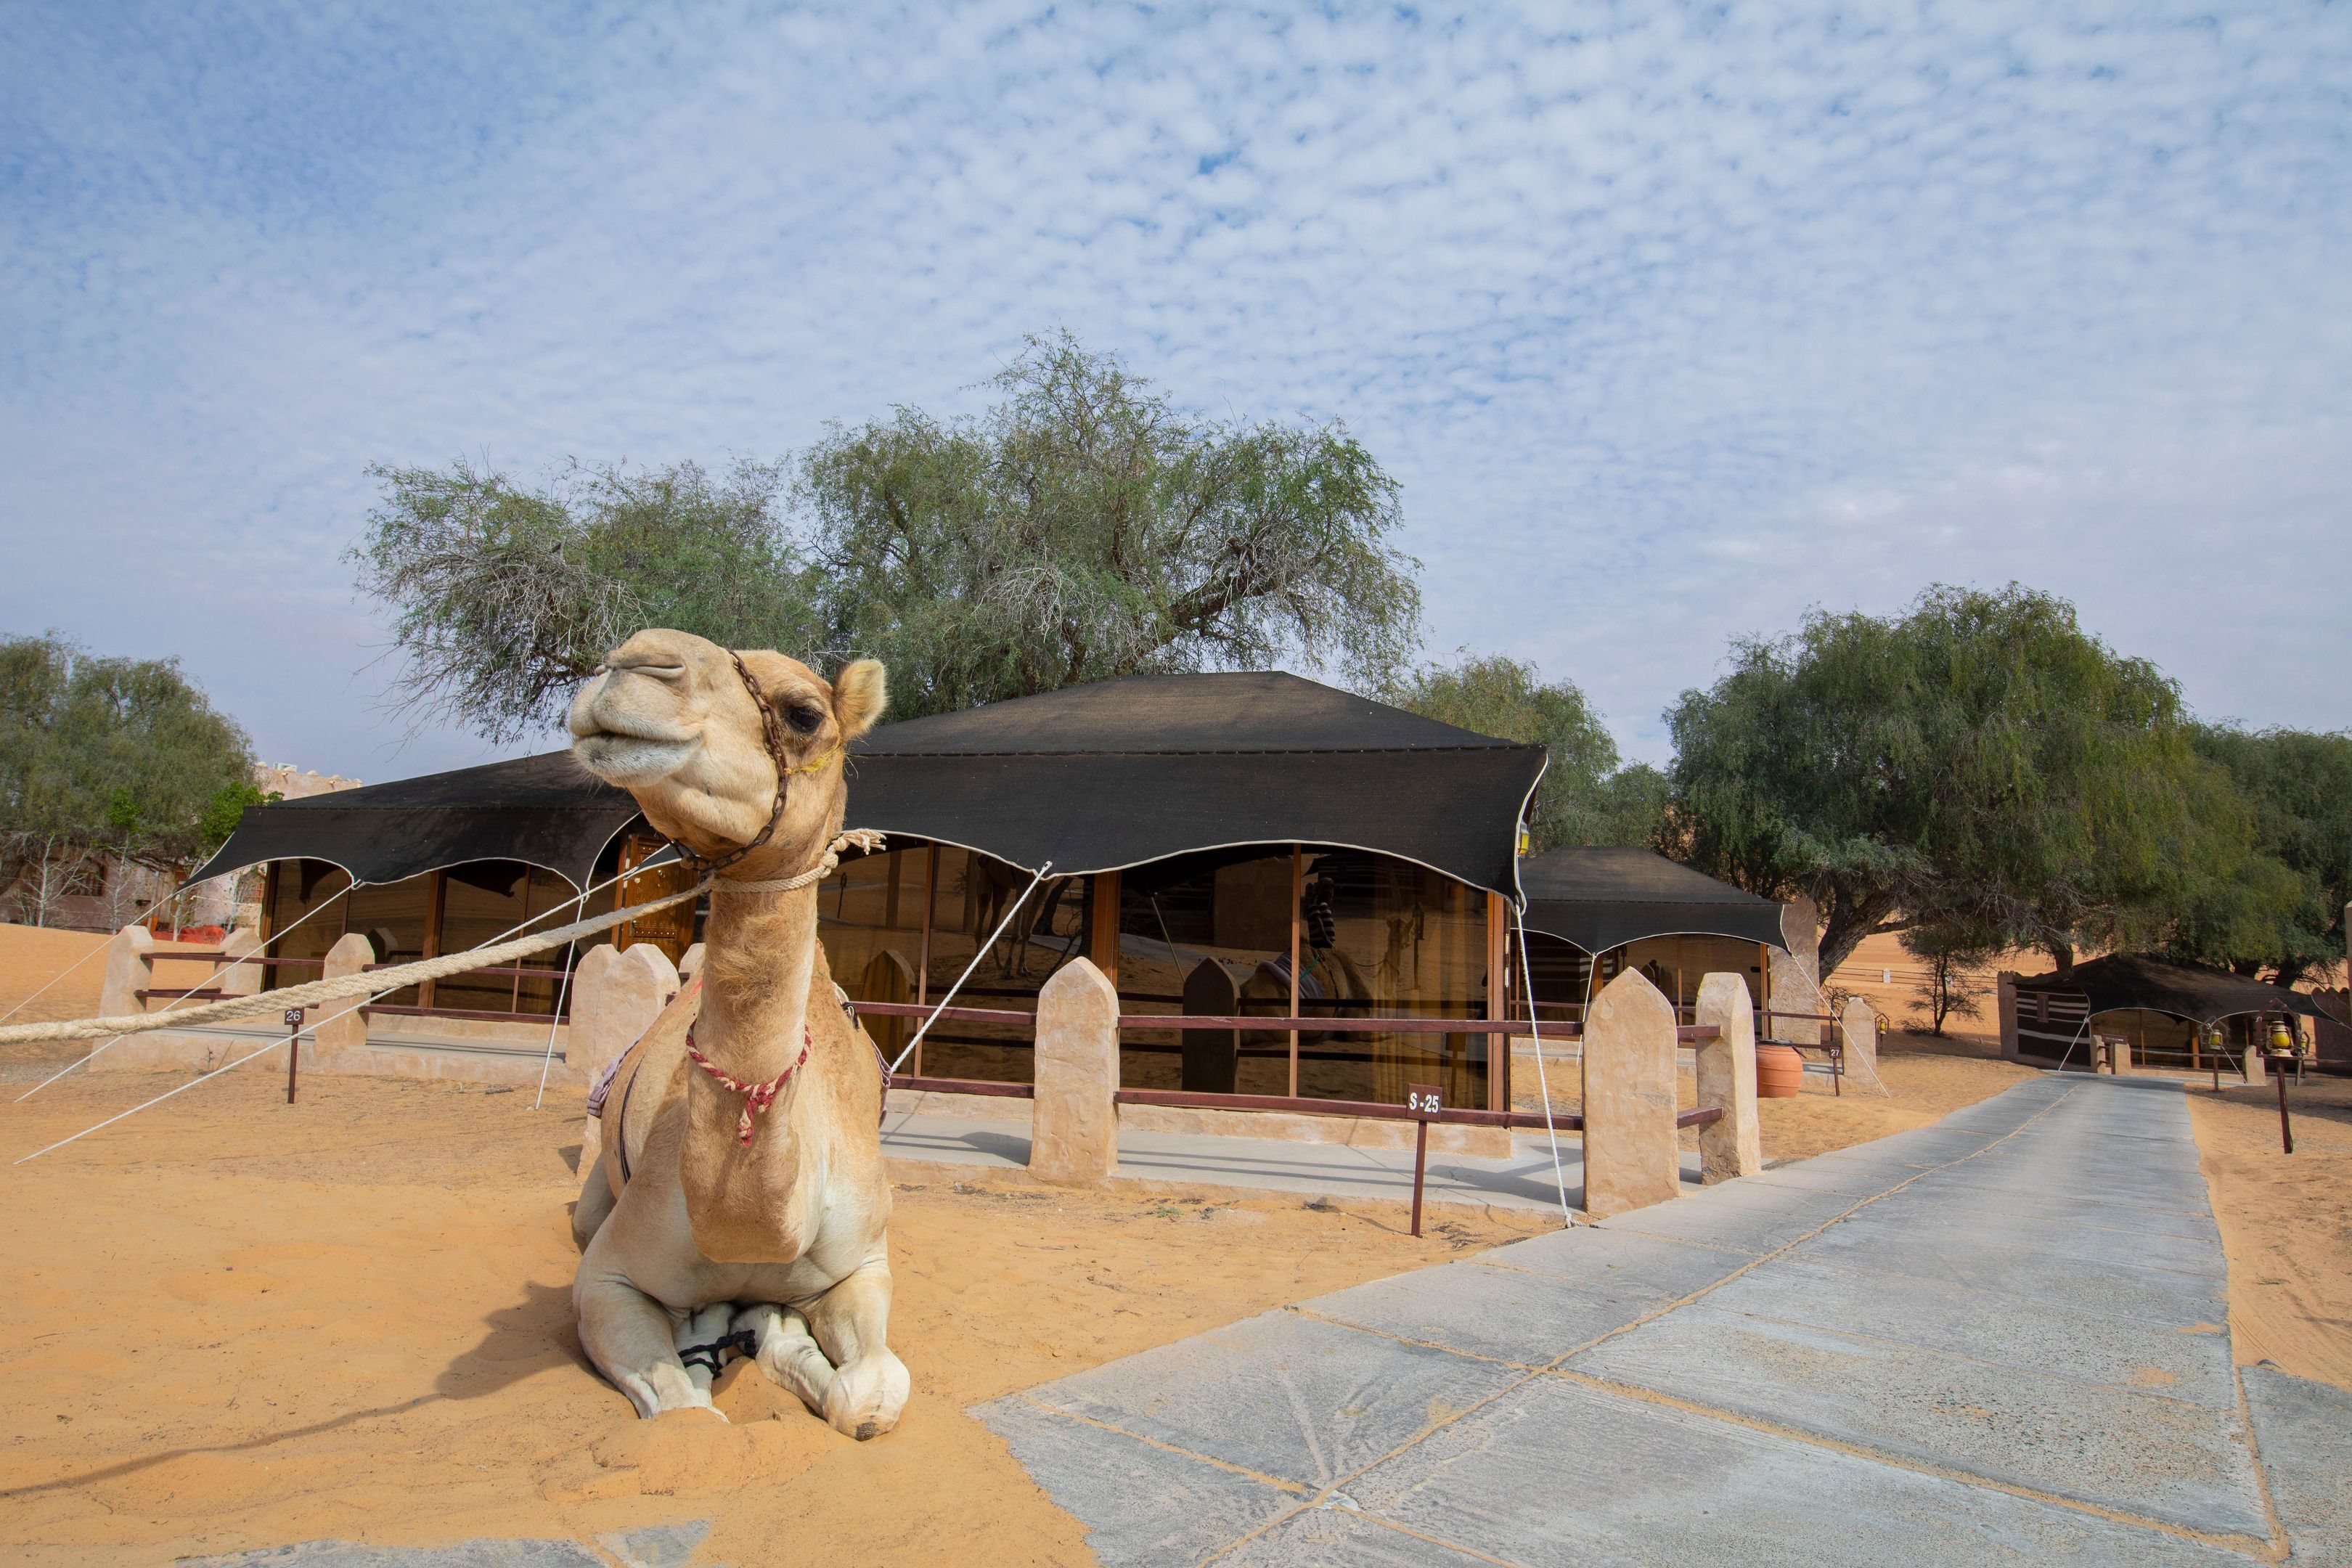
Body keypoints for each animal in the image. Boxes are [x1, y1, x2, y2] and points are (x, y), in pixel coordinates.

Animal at [564, 628, 906, 1438]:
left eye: (805, 713)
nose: (633, 662)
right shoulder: (606, 1277)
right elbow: (685, 1415)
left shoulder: (865, 1263)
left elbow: (870, 1396)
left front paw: (784, 1339)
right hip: (591, 1208)